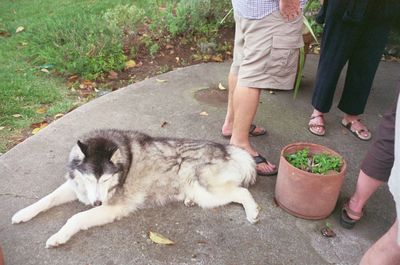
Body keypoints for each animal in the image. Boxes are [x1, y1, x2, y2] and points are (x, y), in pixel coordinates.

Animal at [11, 129, 260, 246]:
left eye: (105, 179)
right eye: (91, 179)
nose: (97, 202)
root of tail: (226, 149)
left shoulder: (113, 207)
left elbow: (75, 218)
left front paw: (59, 236)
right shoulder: (77, 187)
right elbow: (47, 198)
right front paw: (23, 213)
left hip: (208, 190)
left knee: (242, 191)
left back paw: (253, 213)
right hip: (202, 193)